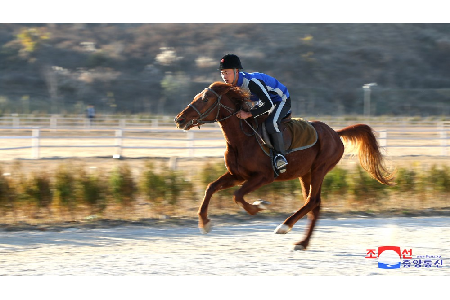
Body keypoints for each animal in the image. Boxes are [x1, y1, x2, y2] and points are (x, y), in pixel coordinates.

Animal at [174, 81, 392, 250]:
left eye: (205, 100)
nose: (179, 119)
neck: (243, 138)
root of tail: (335, 133)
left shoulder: (263, 176)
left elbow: (238, 195)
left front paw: (258, 206)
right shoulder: (237, 175)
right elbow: (211, 188)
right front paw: (204, 223)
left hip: (319, 169)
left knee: (312, 201)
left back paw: (285, 227)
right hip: (305, 174)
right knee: (314, 205)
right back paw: (302, 243)